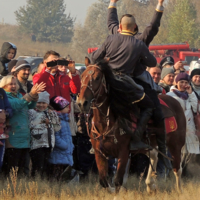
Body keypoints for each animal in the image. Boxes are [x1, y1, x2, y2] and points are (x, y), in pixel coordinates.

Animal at [77, 58, 187, 195]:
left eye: (97, 78)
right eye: (82, 76)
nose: (82, 103)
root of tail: (177, 100)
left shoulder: (123, 152)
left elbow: (118, 180)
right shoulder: (99, 153)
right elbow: (104, 182)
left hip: (176, 144)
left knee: (177, 168)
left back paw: (179, 190)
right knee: (154, 156)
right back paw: (150, 184)